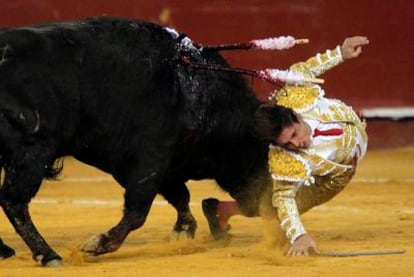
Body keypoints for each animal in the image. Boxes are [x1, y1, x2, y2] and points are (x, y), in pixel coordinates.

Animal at [0, 17, 276, 266]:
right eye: (262, 154)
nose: (265, 205)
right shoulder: (151, 157)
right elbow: (139, 209)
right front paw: (99, 243)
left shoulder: (154, 165)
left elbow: (179, 196)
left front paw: (183, 230)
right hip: (33, 151)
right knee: (14, 200)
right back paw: (48, 255)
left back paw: (6, 250)